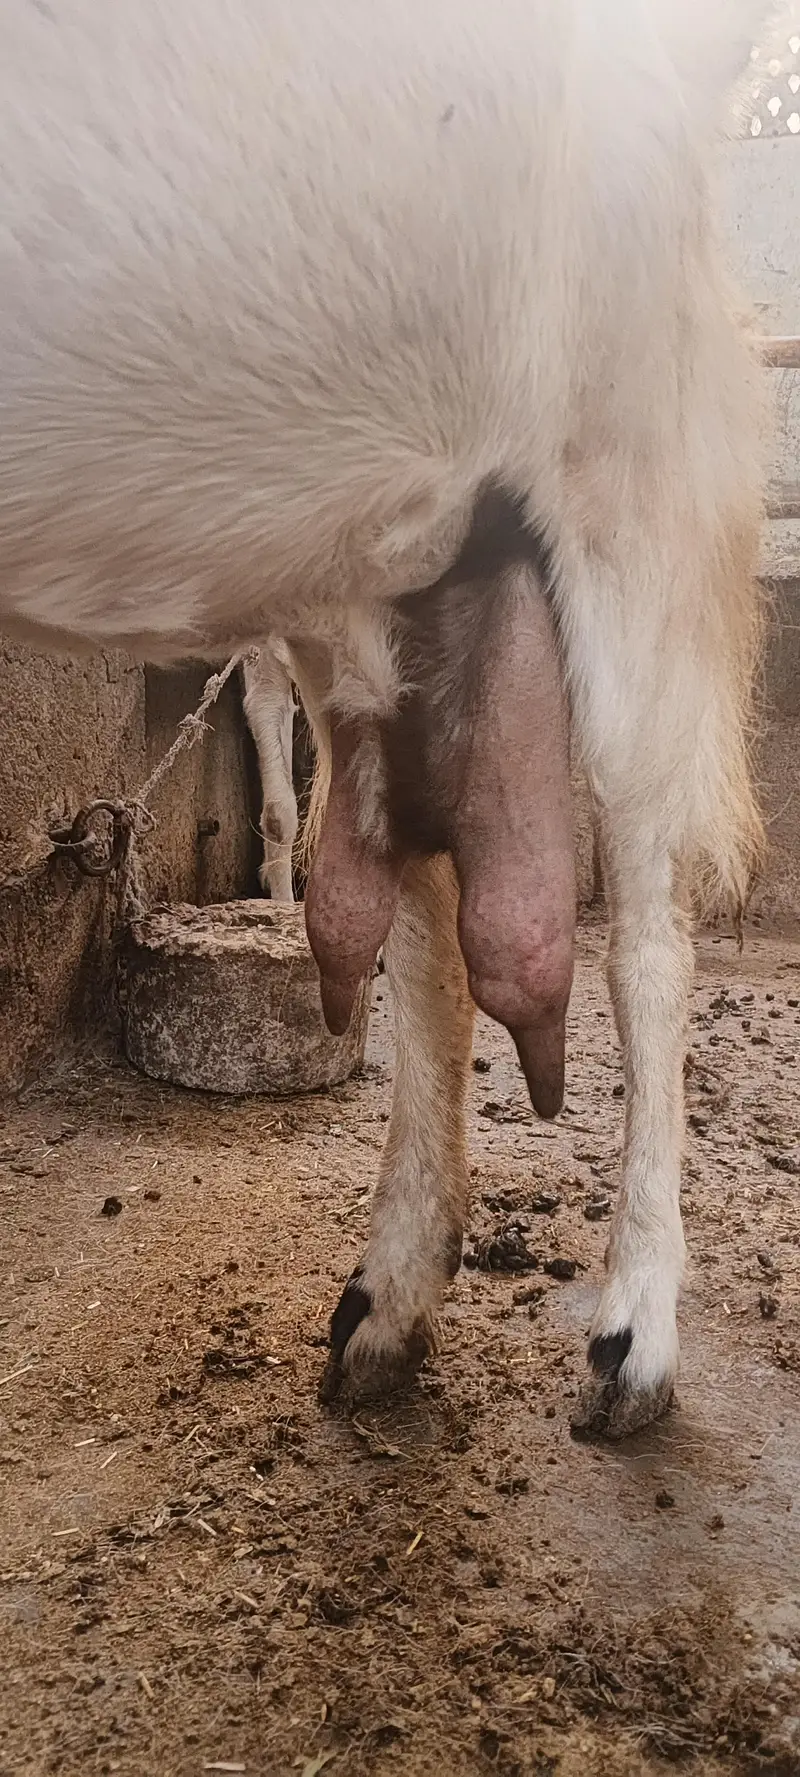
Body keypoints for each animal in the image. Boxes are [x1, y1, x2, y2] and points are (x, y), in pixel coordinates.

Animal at [0, 0, 769, 1436]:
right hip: (385, 565)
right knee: (427, 923)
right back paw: (389, 1301)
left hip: (624, 455)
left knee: (649, 911)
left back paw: (633, 1333)